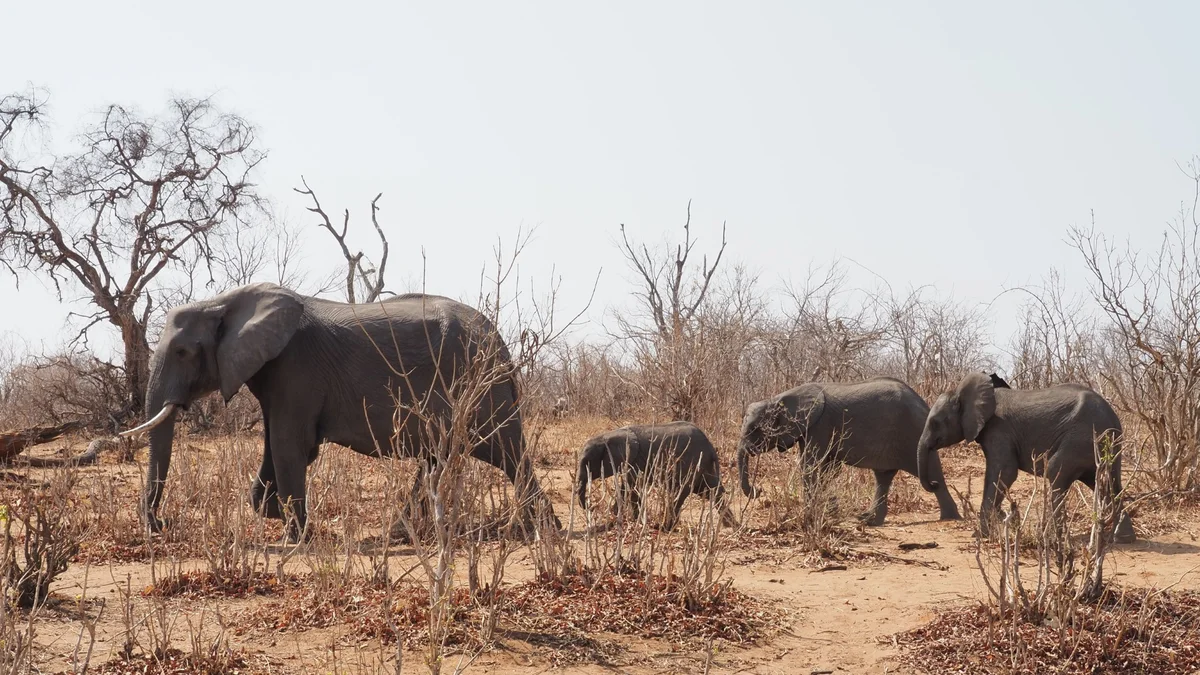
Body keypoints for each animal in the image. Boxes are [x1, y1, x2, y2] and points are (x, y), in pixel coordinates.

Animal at [119, 282, 558, 542]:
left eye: (182, 352)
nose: (161, 526)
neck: (224, 302)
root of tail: (500, 342)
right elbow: (278, 444)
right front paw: (274, 514)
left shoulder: (296, 367)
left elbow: (289, 444)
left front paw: (294, 538)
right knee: (441, 456)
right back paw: (401, 534)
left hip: (481, 385)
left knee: (507, 452)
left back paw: (545, 534)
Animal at [576, 421, 738, 530]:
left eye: (587, 463)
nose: (590, 507)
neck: (607, 436)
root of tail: (710, 447)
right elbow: (627, 488)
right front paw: (620, 520)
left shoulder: (635, 461)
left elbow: (631, 487)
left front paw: (628, 521)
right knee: (711, 491)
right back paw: (731, 525)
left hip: (693, 463)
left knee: (681, 492)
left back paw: (665, 527)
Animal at [737, 377, 961, 526]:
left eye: (754, 430)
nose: (758, 491)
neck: (779, 398)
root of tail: (923, 402)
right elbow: (825, 469)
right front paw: (829, 511)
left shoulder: (820, 425)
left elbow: (811, 466)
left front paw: (810, 515)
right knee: (883, 477)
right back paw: (868, 521)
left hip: (913, 431)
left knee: (931, 471)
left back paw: (949, 518)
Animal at [917, 372, 1135, 543]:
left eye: (935, 422)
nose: (934, 483)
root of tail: (1114, 419)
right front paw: (1002, 519)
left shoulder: (999, 429)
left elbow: (1004, 471)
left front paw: (981, 536)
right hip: (1103, 447)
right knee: (1108, 484)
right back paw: (1122, 539)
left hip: (1083, 437)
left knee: (1056, 471)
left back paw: (1053, 539)